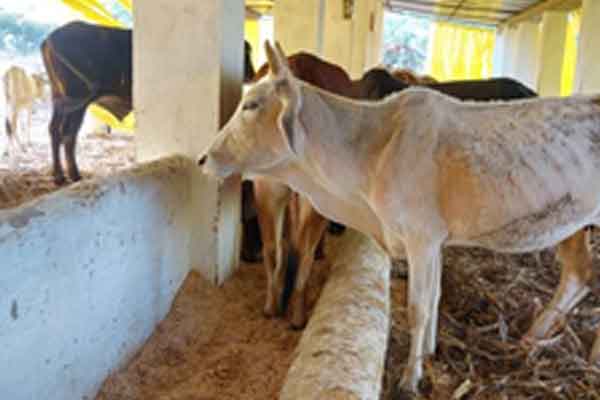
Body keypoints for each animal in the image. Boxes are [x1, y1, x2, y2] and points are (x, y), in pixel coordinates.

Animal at [199, 42, 600, 394]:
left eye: (251, 104)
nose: (203, 158)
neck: (374, 146)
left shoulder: (421, 239)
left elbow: (418, 308)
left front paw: (410, 379)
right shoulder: (435, 241)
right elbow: (435, 298)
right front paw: (429, 354)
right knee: (578, 275)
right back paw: (532, 337)